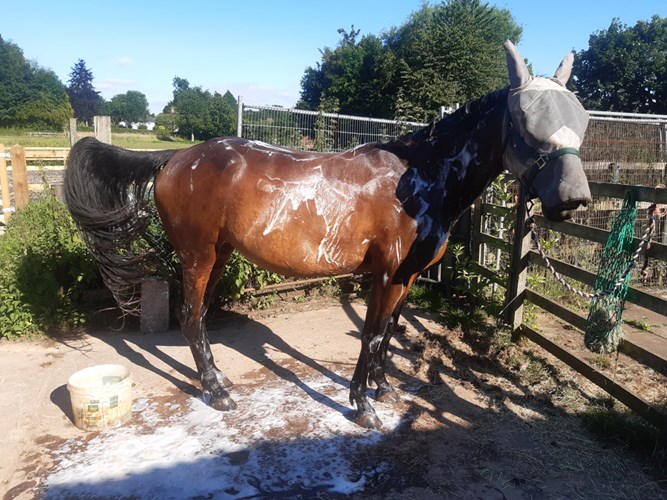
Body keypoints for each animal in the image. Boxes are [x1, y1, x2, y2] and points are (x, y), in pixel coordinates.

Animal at [65, 41, 592, 430]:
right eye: (527, 123)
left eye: (582, 121)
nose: (574, 199)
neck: (421, 175)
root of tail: (176, 158)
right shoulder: (387, 275)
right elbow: (373, 334)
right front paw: (364, 406)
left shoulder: (407, 278)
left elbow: (391, 332)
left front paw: (384, 387)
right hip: (198, 256)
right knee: (191, 317)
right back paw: (218, 394)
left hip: (218, 255)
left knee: (194, 318)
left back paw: (217, 382)